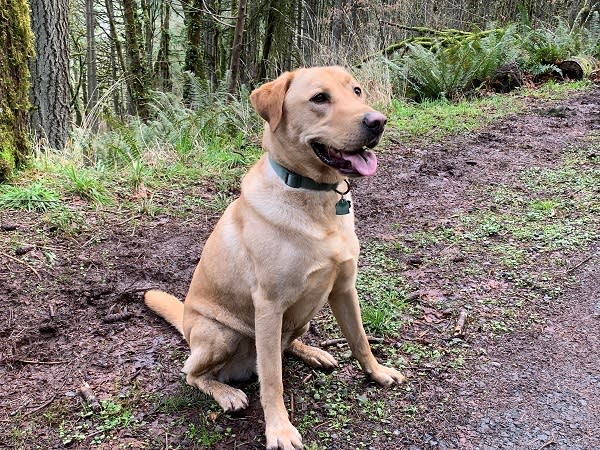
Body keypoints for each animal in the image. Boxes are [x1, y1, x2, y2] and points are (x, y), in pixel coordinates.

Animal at [146, 65, 406, 448]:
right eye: (319, 98)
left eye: (357, 91)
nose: (378, 121)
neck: (315, 198)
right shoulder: (268, 307)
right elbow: (272, 379)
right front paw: (279, 430)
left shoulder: (344, 288)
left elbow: (360, 340)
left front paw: (377, 373)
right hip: (221, 334)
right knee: (194, 373)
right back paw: (226, 392)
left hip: (303, 316)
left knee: (287, 344)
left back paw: (312, 352)